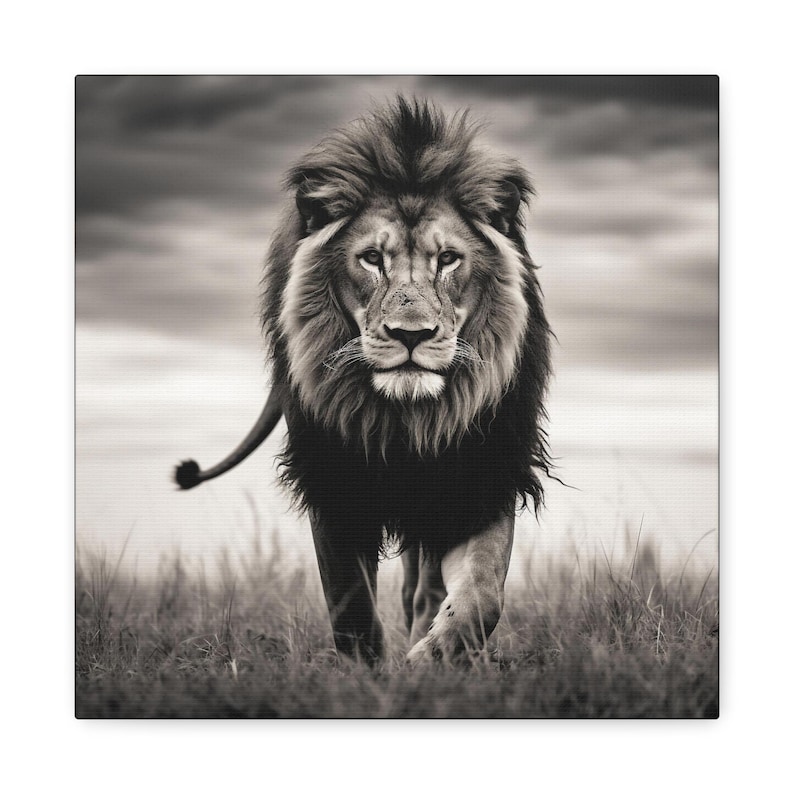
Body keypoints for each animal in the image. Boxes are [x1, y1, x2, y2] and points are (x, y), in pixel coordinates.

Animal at [175, 97, 552, 664]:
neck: (405, 419)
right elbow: (350, 606)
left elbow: (481, 595)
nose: (411, 334)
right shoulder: (334, 479)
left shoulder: (482, 470)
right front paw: (369, 672)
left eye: (448, 259)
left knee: (426, 586)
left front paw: (428, 659)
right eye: (372, 258)